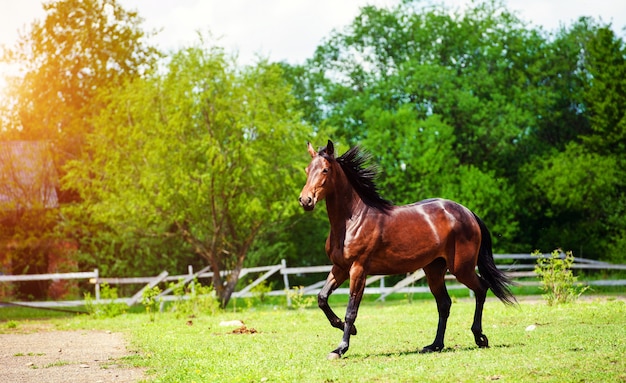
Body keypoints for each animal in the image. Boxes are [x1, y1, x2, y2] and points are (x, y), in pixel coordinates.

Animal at [300, 140, 516, 360]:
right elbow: (322, 298)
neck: (352, 220)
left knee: (481, 288)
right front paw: (348, 329)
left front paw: (340, 348)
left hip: (461, 268)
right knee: (444, 304)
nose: (305, 200)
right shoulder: (340, 268)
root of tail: (468, 213)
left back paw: (479, 337)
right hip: (434, 270)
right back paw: (435, 345)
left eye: (325, 170)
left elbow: (351, 310)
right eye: (308, 170)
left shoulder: (358, 270)